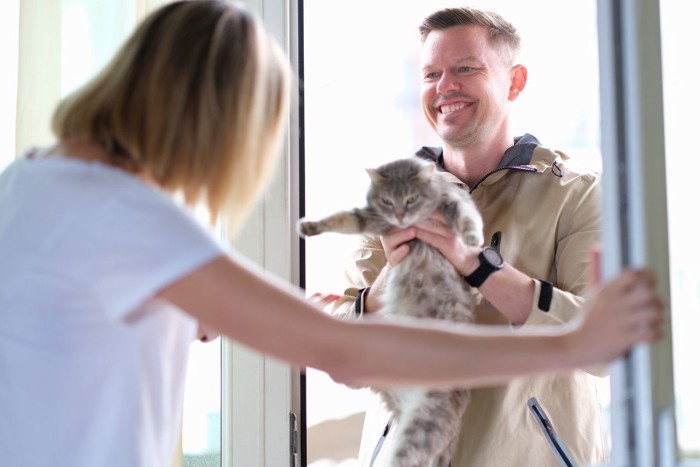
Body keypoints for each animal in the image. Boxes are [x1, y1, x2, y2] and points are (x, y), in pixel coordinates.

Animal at [298, 156, 484, 467]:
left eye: (411, 199)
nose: (399, 216)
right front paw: (310, 226)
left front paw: (471, 237)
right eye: (387, 201)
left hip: (424, 424)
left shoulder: (453, 201)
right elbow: (343, 218)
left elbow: (467, 215)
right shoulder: (372, 217)